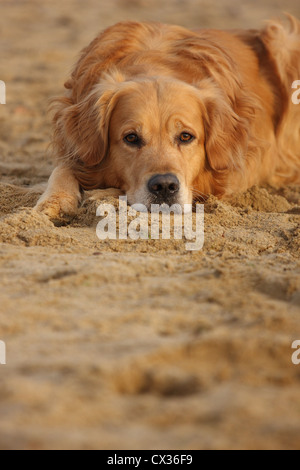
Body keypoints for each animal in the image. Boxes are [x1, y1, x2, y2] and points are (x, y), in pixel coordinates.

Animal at [36, 15, 300, 218]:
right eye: (131, 138)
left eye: (185, 136)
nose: (164, 186)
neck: (153, 61)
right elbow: (62, 168)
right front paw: (55, 200)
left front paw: (97, 194)